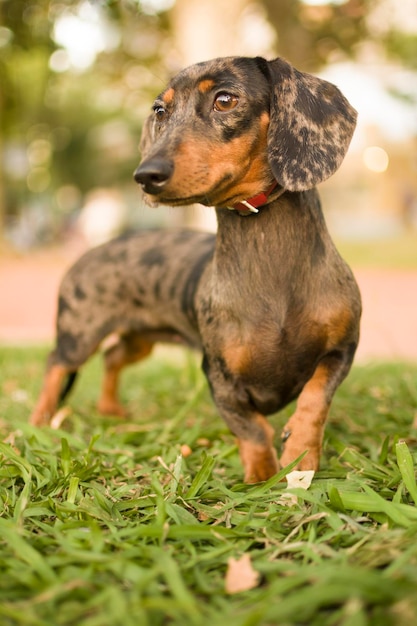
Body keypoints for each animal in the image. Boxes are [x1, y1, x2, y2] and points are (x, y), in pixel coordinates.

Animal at [30, 54, 360, 482]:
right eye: (160, 110)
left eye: (225, 99)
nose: (145, 175)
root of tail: (92, 251)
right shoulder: (218, 378)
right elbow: (254, 430)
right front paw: (261, 478)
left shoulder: (342, 349)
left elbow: (316, 397)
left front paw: (301, 453)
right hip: (78, 336)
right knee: (56, 365)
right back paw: (37, 422)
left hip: (139, 340)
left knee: (113, 357)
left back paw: (110, 410)